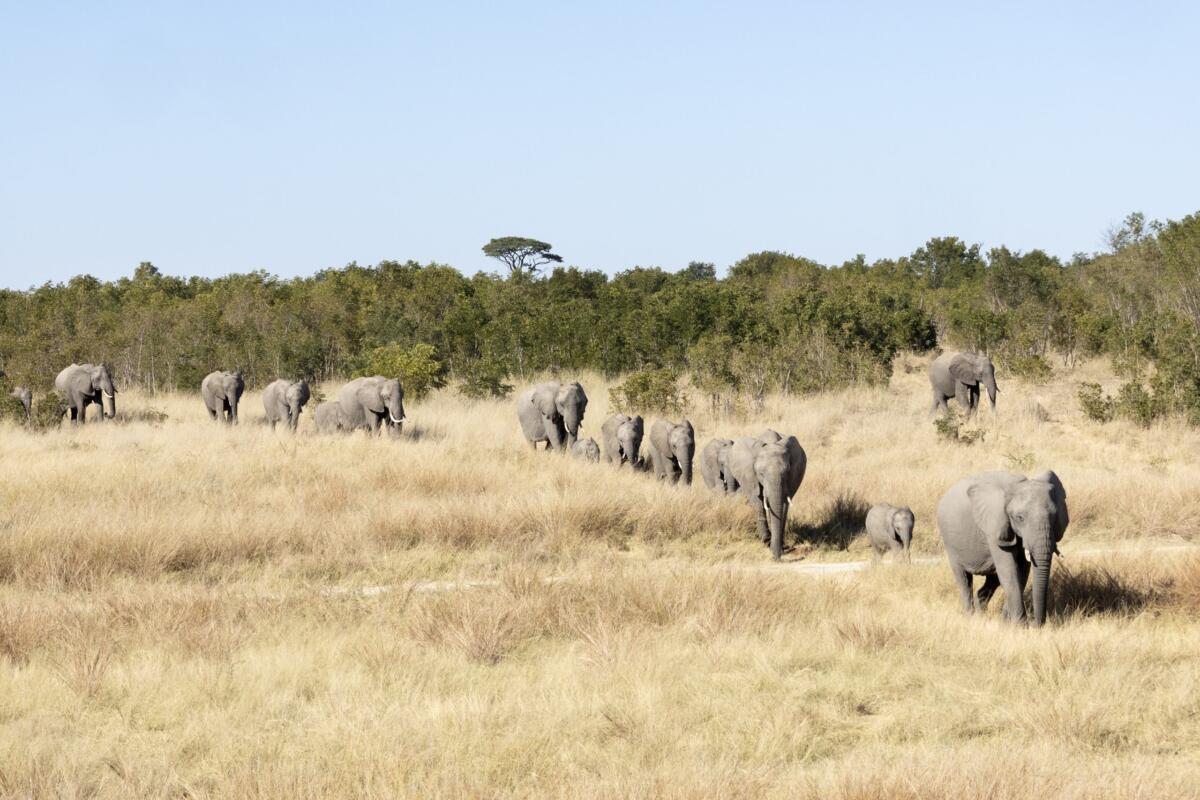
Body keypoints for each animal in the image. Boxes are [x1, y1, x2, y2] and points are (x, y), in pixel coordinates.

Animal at [727, 430, 807, 560]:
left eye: (787, 472)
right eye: (761, 473)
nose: (777, 557)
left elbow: (783, 505)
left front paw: (776, 544)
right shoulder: (749, 475)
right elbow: (757, 502)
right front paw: (766, 540)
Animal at [936, 470, 1069, 626]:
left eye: (1054, 516)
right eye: (1019, 517)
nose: (1036, 624)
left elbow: (1022, 571)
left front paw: (1007, 623)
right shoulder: (994, 525)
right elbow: (1009, 570)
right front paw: (1020, 626)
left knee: (993, 580)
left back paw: (982, 614)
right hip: (949, 541)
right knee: (964, 580)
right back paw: (970, 618)